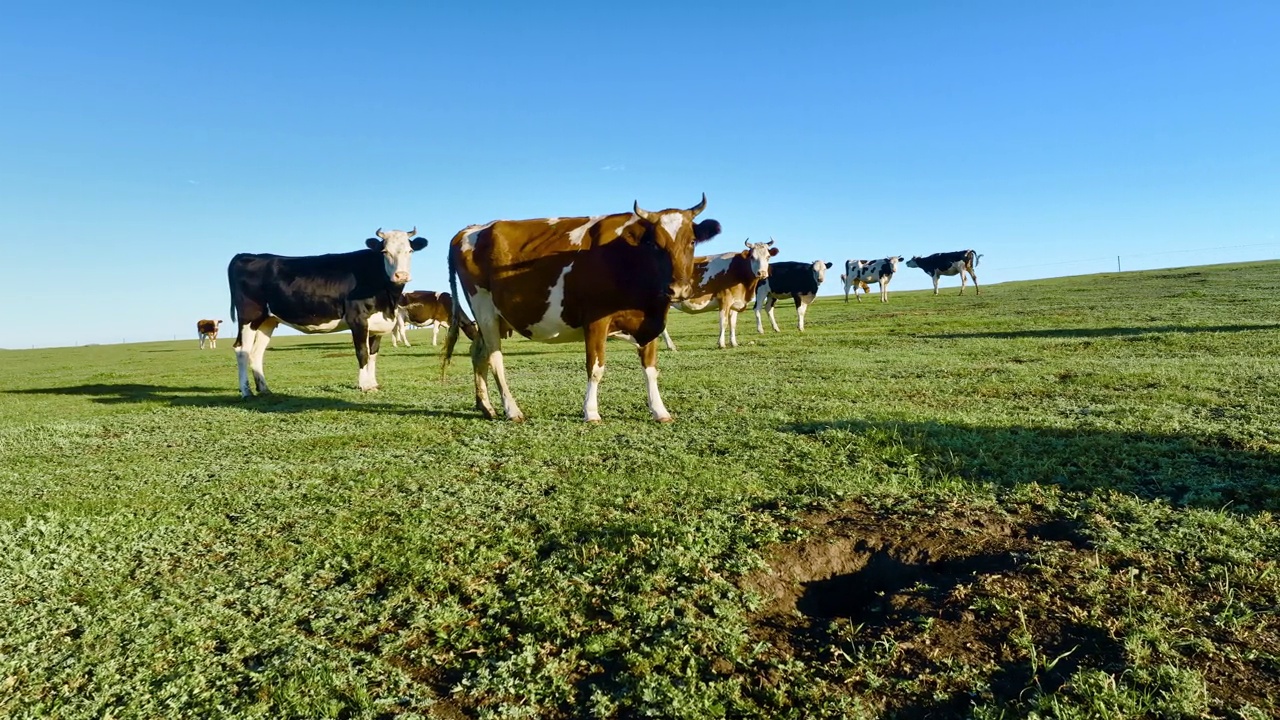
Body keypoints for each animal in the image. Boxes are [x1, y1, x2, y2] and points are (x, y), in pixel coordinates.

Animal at [227, 226, 427, 394]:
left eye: (410, 251)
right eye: (385, 252)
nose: (401, 275)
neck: (387, 299)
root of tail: (246, 255)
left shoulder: (377, 324)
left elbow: (373, 354)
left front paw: (373, 384)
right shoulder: (358, 319)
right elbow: (362, 353)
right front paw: (364, 385)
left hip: (268, 320)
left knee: (256, 352)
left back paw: (264, 389)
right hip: (249, 316)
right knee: (242, 350)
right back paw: (246, 391)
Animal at [440, 193, 721, 422]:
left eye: (692, 242)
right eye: (655, 244)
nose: (678, 289)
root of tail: (470, 229)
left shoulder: (649, 321)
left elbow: (650, 369)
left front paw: (660, 411)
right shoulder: (596, 319)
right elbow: (595, 368)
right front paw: (591, 412)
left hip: (497, 317)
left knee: (479, 352)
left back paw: (485, 406)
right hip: (484, 307)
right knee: (495, 356)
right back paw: (512, 410)